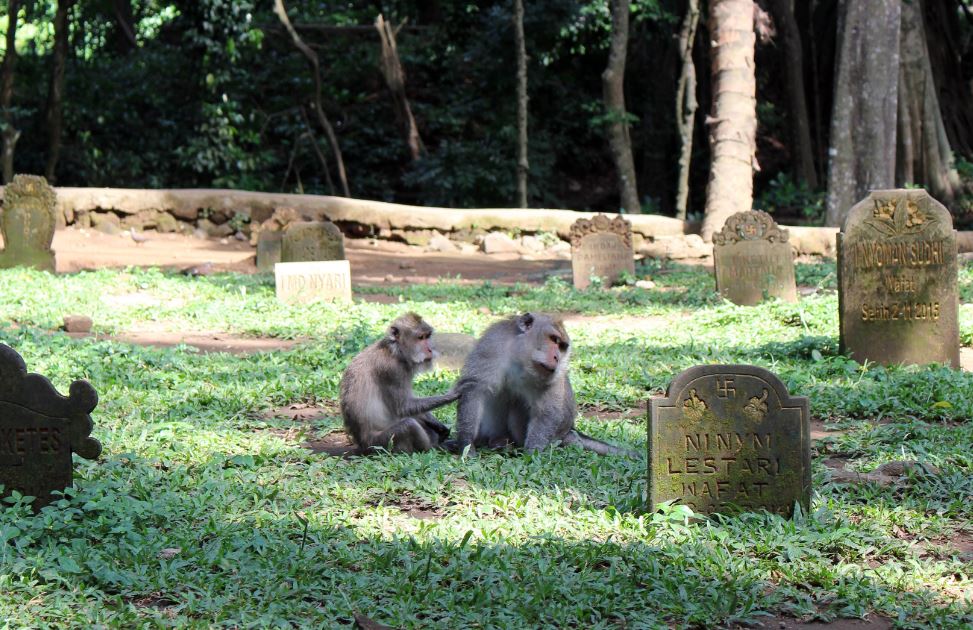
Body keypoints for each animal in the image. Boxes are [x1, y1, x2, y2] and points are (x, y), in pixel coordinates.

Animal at [340, 312, 462, 454]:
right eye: (420, 337)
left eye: (427, 336)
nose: (430, 350)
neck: (395, 351)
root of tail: (363, 445)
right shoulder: (392, 371)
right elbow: (404, 407)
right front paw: (452, 395)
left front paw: (438, 425)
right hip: (380, 444)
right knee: (408, 424)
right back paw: (434, 447)